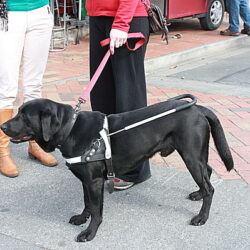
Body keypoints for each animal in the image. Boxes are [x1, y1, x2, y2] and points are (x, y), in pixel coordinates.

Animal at [0, 98, 233, 242]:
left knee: (210, 187)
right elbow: (87, 203)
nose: (2, 126)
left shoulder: (94, 181)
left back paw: (202, 217)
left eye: (25, 116)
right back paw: (198, 195)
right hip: (196, 155)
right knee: (208, 172)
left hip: (191, 156)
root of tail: (198, 108)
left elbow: (96, 210)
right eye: (18, 112)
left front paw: (89, 233)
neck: (70, 129)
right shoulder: (87, 181)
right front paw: (81, 218)